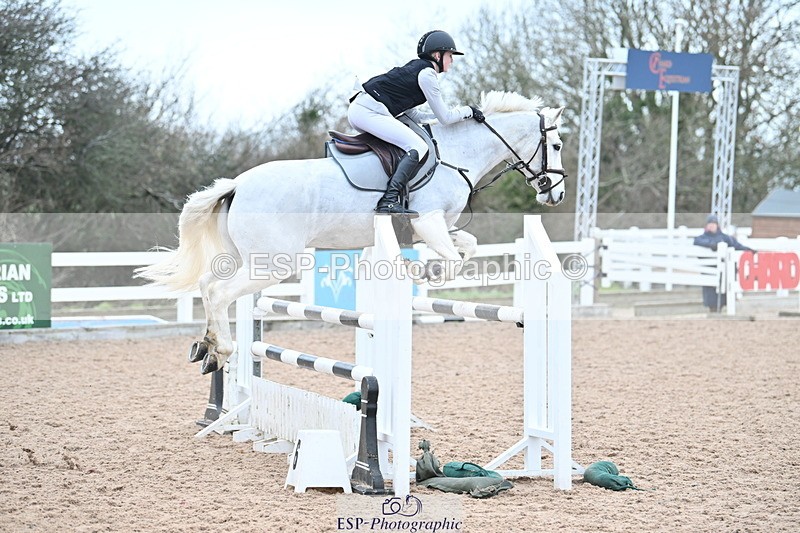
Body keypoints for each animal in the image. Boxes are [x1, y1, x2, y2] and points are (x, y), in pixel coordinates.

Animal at [136, 91, 567, 374]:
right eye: (559, 144)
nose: (555, 193)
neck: (455, 155)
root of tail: (236, 185)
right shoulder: (427, 221)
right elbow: (451, 260)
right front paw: (424, 273)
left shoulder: (435, 226)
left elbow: (468, 246)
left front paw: (427, 271)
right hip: (274, 263)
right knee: (219, 292)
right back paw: (222, 350)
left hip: (246, 257)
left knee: (208, 284)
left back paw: (206, 347)